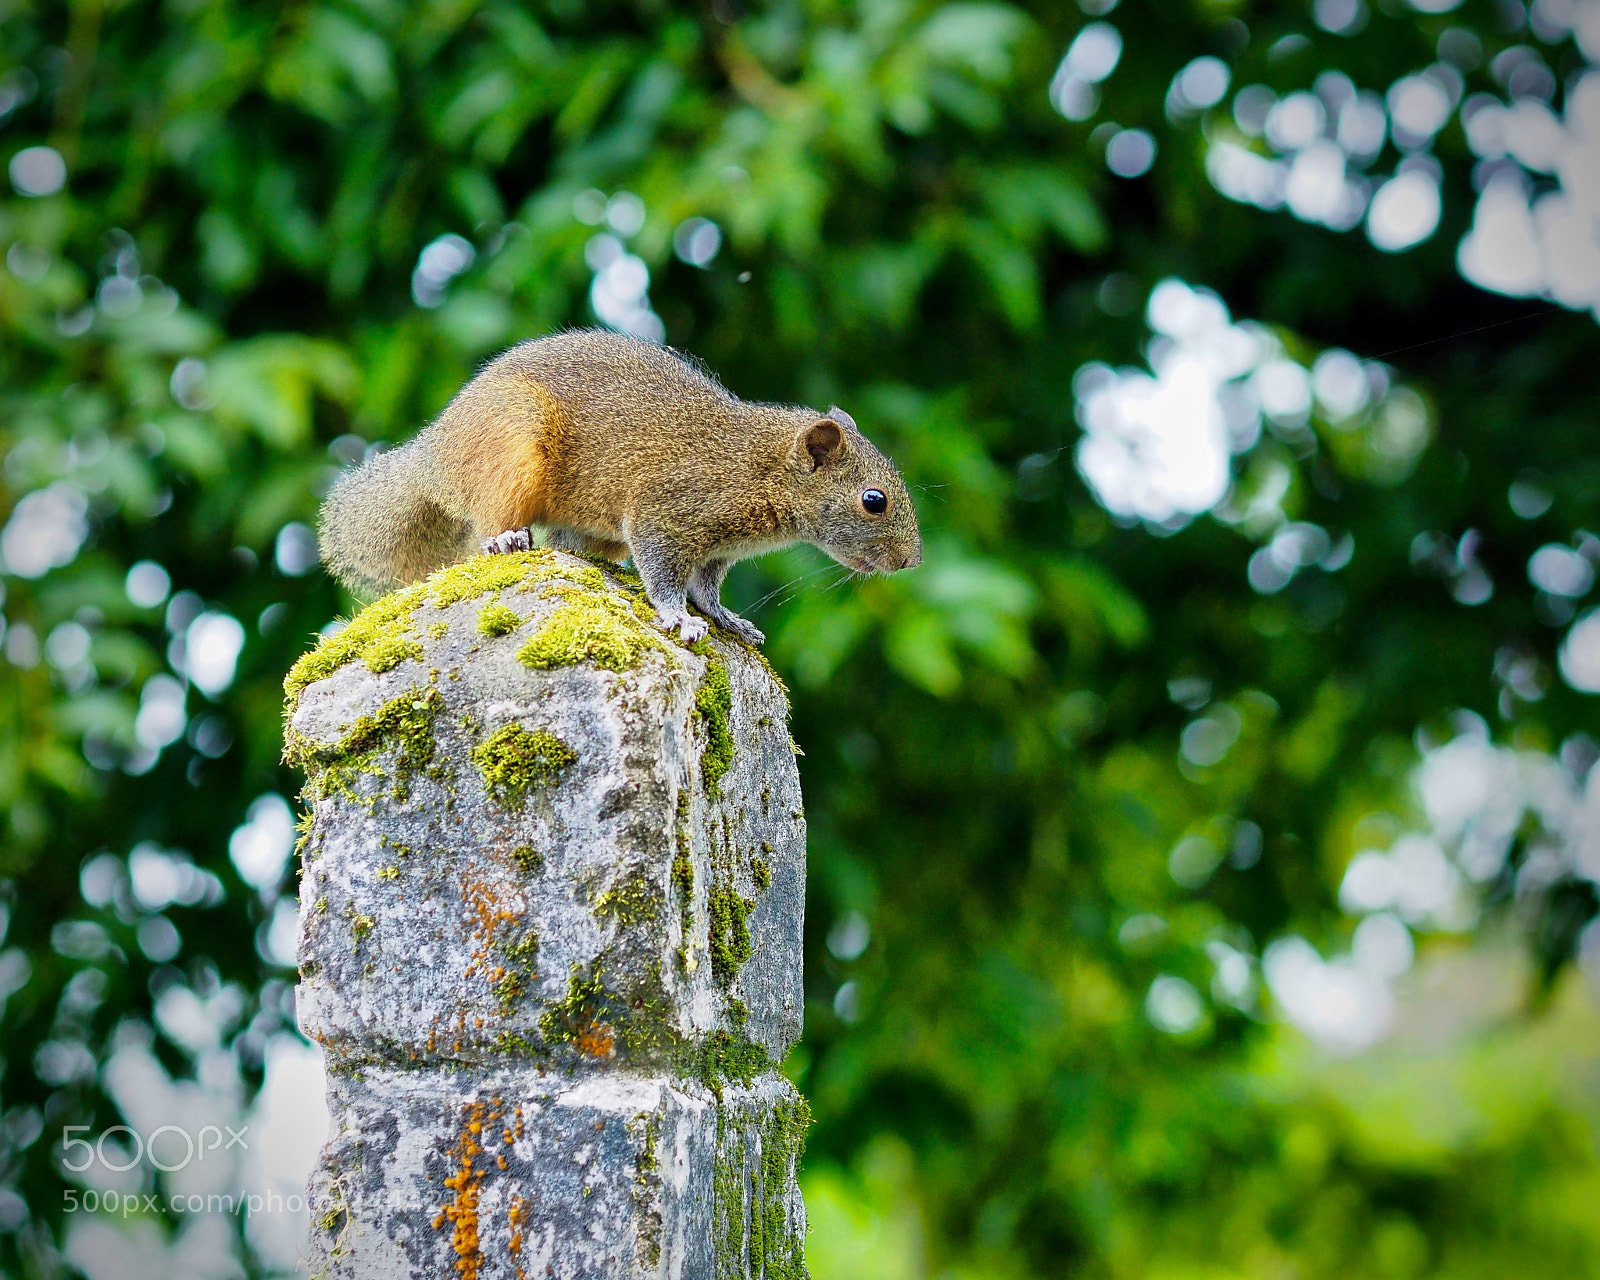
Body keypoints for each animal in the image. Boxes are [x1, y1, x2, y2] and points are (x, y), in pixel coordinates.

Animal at [317, 329, 922, 645]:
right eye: (874, 501)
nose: (910, 562)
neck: (760, 469)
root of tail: (435, 454)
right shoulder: (669, 509)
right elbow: (665, 574)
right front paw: (678, 618)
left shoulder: (715, 552)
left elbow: (707, 588)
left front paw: (726, 618)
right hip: (513, 449)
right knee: (490, 520)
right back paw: (504, 539)